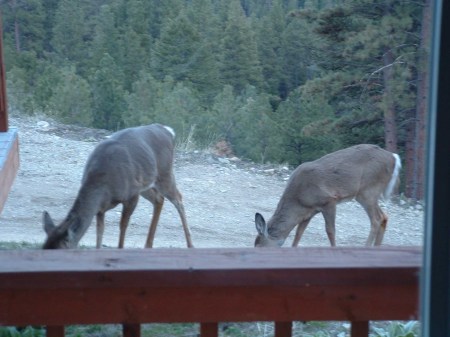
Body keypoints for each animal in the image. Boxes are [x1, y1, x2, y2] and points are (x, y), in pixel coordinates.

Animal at [42, 122, 195, 248]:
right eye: (44, 246)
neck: (102, 185)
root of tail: (168, 131)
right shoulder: (101, 208)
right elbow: (100, 232)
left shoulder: (131, 195)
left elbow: (123, 226)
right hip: (146, 184)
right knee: (159, 199)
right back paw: (148, 245)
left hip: (164, 174)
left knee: (178, 199)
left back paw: (190, 244)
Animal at [255, 144, 402, 247]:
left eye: (259, 246)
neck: (298, 199)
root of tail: (393, 157)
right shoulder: (309, 212)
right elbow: (298, 233)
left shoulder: (329, 200)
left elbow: (330, 231)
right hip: (369, 193)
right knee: (384, 216)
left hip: (367, 191)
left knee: (376, 219)